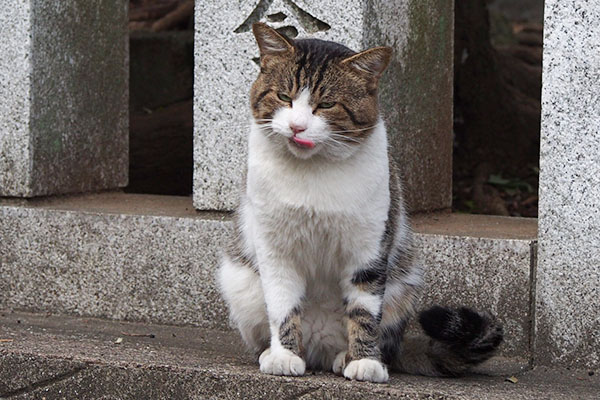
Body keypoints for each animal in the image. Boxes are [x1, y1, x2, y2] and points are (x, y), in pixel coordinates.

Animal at [216, 22, 502, 384]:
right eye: (283, 97)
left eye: (326, 104)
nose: (297, 126)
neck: (312, 171)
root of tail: (318, 351)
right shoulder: (275, 247)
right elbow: (282, 306)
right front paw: (283, 356)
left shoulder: (369, 246)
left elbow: (364, 310)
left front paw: (364, 361)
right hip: (238, 282)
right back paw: (274, 352)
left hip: (402, 287)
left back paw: (345, 357)